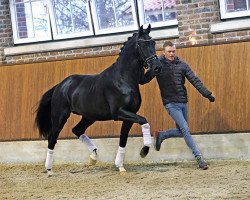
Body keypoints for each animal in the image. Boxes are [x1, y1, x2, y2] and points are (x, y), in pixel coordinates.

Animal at [35, 25, 162, 174]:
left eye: (153, 43)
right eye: (142, 44)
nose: (157, 67)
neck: (123, 79)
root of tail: (60, 86)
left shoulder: (129, 116)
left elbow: (123, 139)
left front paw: (120, 166)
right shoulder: (119, 113)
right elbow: (144, 121)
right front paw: (144, 151)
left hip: (89, 116)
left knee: (77, 130)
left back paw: (93, 157)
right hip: (60, 116)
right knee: (52, 138)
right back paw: (49, 170)